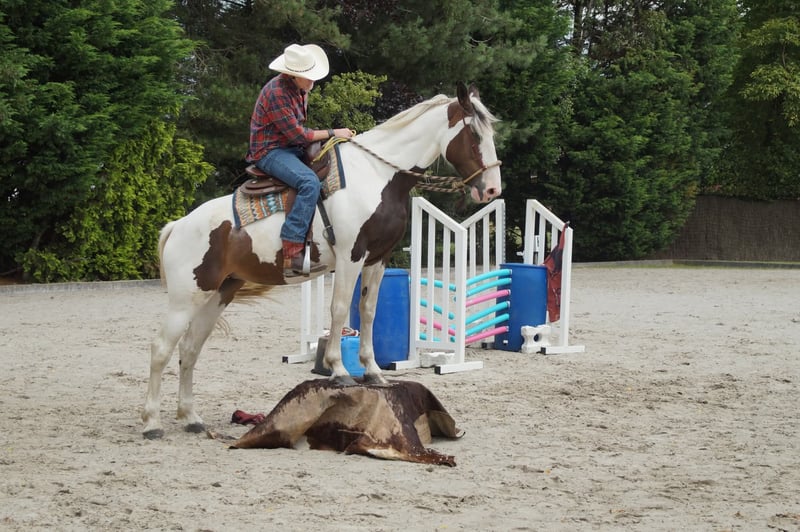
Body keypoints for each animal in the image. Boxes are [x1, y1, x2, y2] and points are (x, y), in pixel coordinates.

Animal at [141, 83, 502, 439]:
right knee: (161, 349)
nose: (491, 190)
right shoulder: (350, 256)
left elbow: (368, 312)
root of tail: (177, 226)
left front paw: (373, 372)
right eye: (474, 134)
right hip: (185, 299)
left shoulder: (378, 259)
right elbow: (340, 309)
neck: (376, 175)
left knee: (189, 349)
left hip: (218, 293)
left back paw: (191, 418)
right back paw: (152, 423)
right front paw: (339, 370)